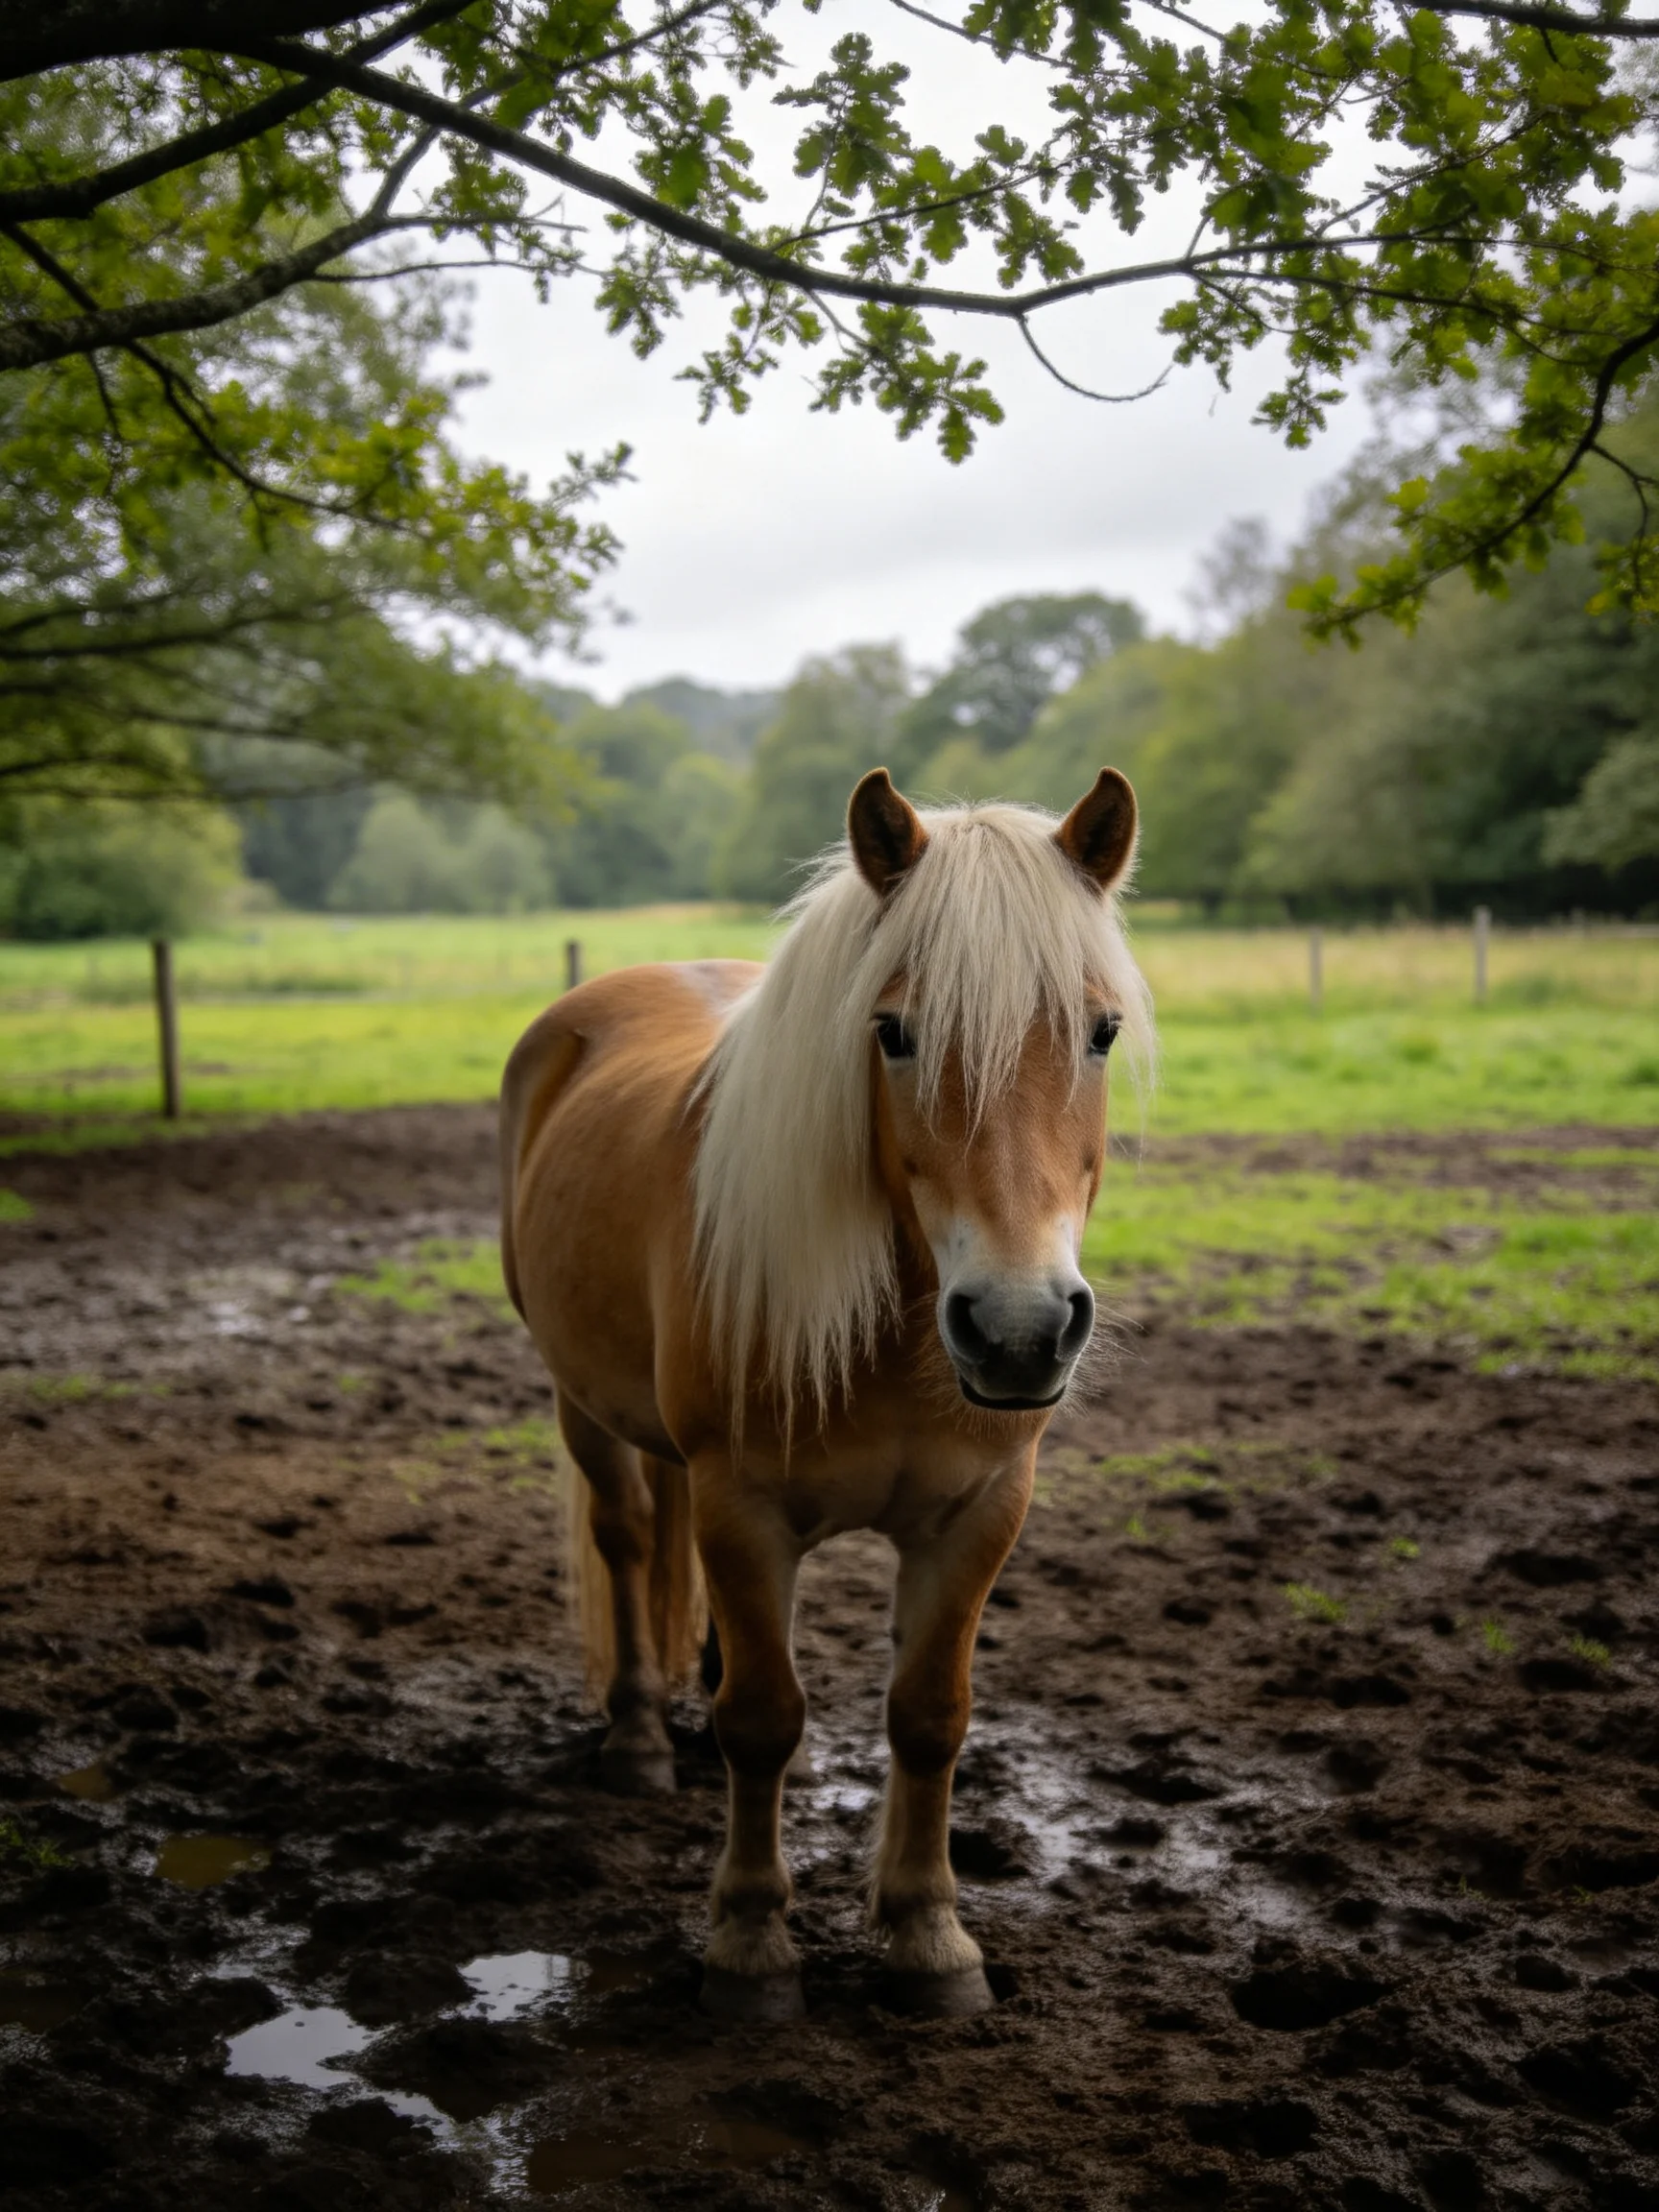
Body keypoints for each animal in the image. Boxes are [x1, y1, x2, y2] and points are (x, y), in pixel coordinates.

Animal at [500, 766, 1150, 2022]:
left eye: (1099, 1031)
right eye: (893, 1033)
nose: (1019, 1328)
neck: (894, 1335)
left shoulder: (978, 1514)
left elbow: (929, 1717)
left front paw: (930, 1936)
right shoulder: (743, 1505)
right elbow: (761, 1720)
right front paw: (750, 1947)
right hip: (584, 1406)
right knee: (627, 1537)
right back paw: (640, 1739)